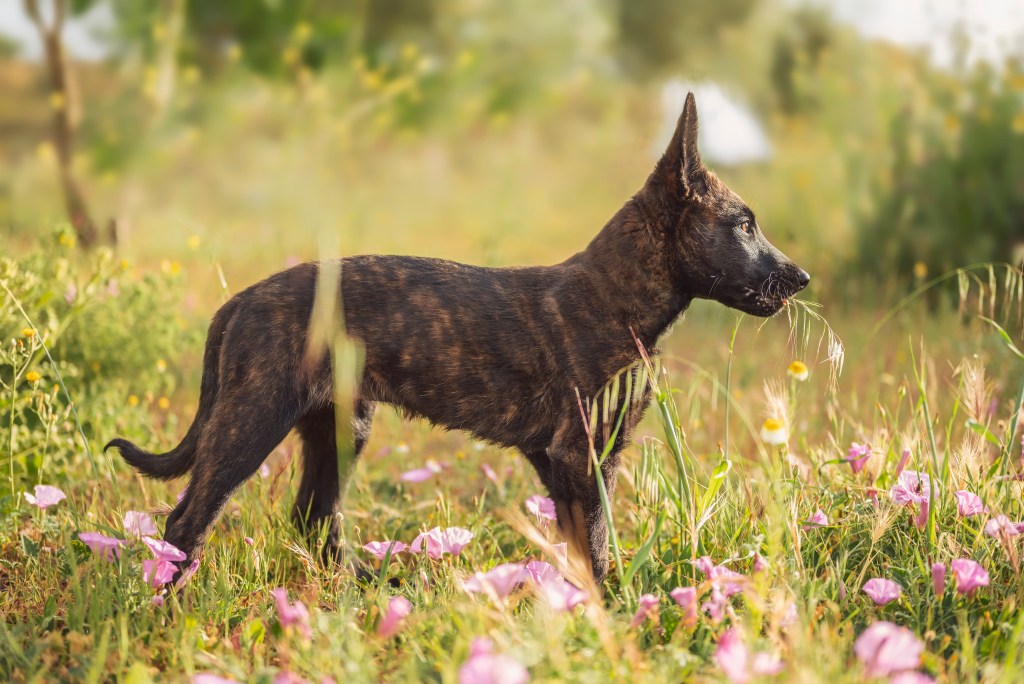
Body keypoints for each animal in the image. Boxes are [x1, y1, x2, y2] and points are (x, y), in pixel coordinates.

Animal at [103, 93, 806, 581]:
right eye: (743, 225)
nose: (799, 278)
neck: (618, 300)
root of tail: (239, 302)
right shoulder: (581, 456)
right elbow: (601, 549)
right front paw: (621, 615)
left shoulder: (570, 462)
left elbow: (582, 549)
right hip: (251, 420)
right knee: (187, 519)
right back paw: (170, 601)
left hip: (339, 427)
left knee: (312, 517)